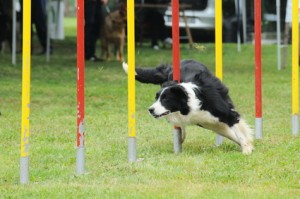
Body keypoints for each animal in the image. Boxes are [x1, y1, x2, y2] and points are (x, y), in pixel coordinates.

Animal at [122, 59, 253, 155]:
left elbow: (238, 131)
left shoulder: (227, 114)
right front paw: (248, 146)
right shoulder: (206, 121)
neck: (191, 103)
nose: (150, 110)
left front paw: (247, 149)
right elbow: (231, 133)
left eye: (165, 99)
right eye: (157, 98)